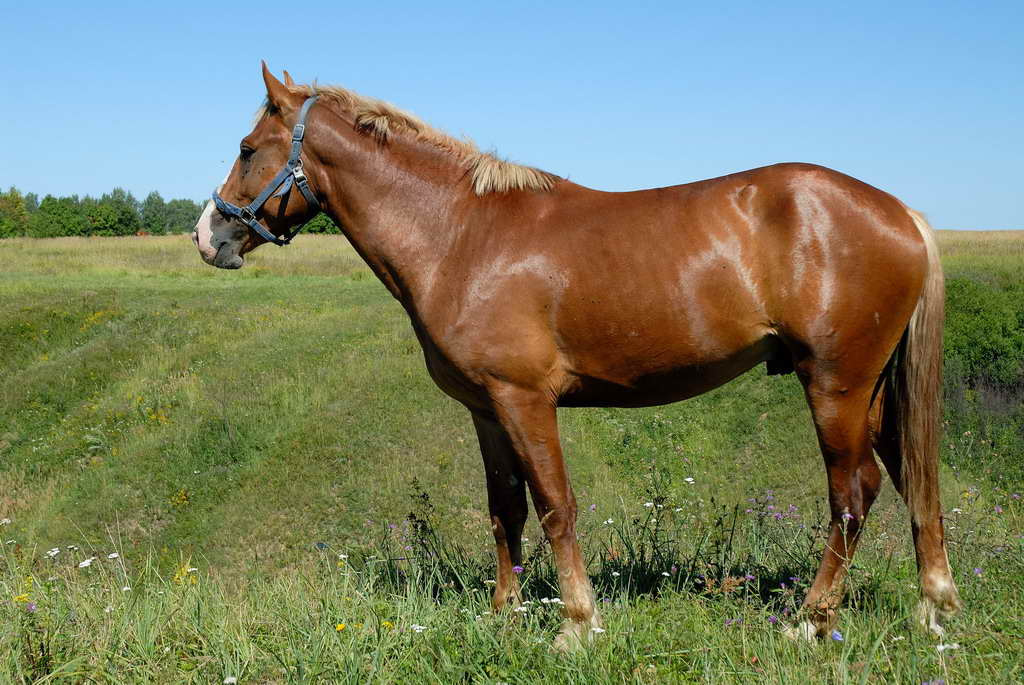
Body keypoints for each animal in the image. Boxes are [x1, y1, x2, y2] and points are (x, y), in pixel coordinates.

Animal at [193, 64, 961, 649]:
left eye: (247, 147)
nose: (209, 237)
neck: (461, 234)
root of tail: (901, 213)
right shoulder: (486, 410)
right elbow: (505, 510)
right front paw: (503, 615)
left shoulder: (525, 399)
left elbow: (556, 506)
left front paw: (576, 624)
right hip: (874, 390)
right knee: (909, 482)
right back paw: (933, 607)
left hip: (835, 384)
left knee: (852, 494)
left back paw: (811, 619)